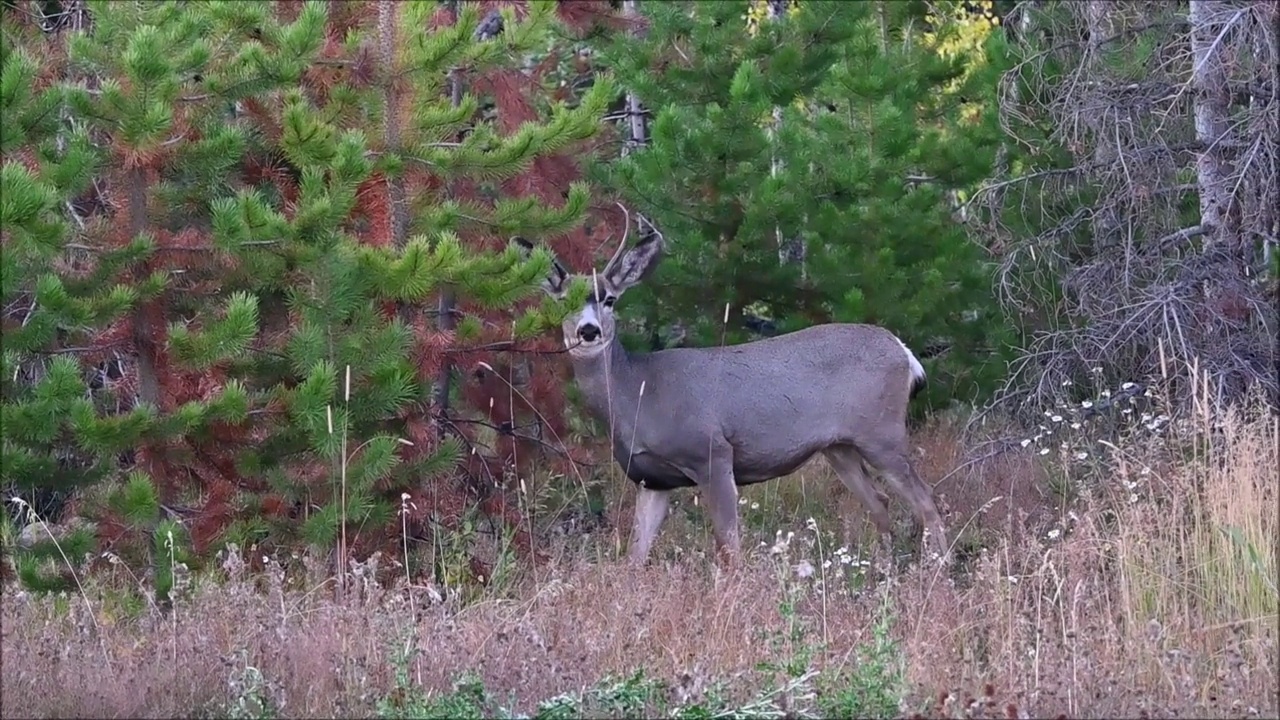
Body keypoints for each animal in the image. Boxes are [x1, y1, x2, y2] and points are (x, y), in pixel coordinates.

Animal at [512, 226, 952, 563]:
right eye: (562, 301)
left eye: (609, 299)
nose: (588, 331)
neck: (636, 391)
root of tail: (905, 353)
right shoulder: (651, 480)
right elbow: (636, 555)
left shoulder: (712, 453)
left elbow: (729, 548)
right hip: (840, 447)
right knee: (882, 502)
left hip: (881, 433)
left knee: (927, 500)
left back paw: (937, 571)